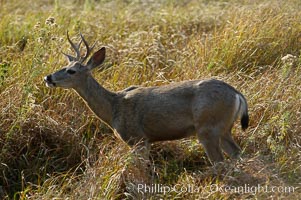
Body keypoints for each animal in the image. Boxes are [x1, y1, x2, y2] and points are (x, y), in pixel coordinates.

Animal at [42, 32, 248, 164]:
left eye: (71, 71)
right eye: (64, 65)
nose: (48, 77)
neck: (113, 108)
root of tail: (236, 94)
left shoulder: (138, 138)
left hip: (208, 127)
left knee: (220, 161)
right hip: (223, 129)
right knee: (236, 153)